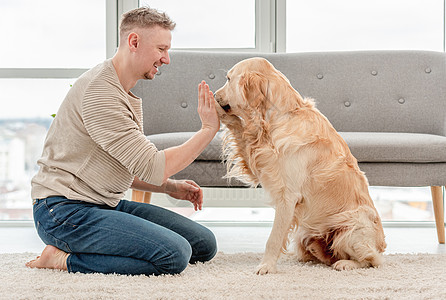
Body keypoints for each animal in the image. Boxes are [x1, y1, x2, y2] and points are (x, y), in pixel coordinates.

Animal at [214, 57, 386, 276]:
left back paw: (346, 264)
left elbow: (273, 238)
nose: (214, 95)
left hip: (351, 226)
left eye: (228, 79)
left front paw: (266, 266)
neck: (280, 116)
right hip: (305, 234)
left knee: (373, 260)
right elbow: (240, 131)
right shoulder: (261, 164)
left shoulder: (288, 197)